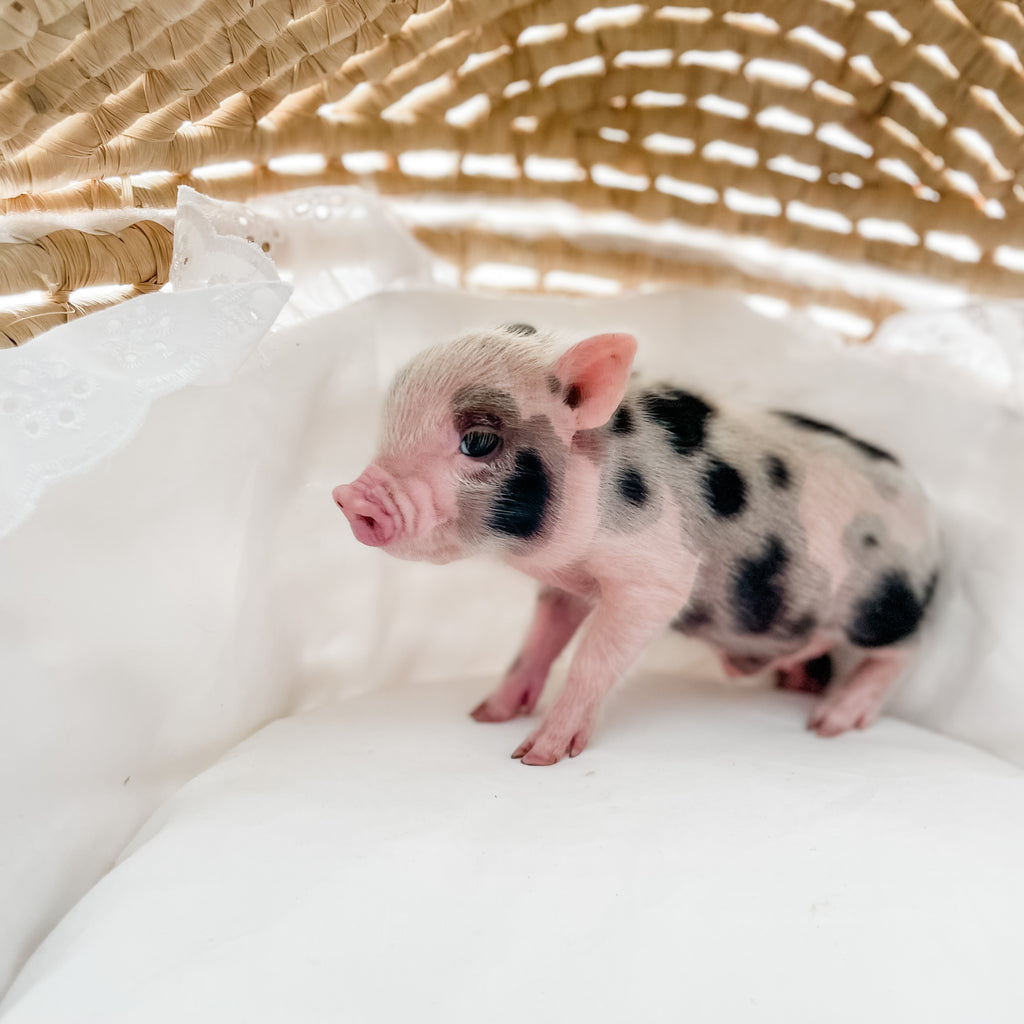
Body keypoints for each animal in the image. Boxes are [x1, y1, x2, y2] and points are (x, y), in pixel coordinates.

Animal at [333, 323, 940, 765]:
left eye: (479, 440)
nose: (349, 497)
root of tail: (936, 533)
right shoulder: (565, 586)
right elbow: (536, 644)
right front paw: (486, 715)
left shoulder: (656, 577)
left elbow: (591, 658)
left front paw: (536, 757)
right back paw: (798, 686)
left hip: (882, 607)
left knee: (902, 652)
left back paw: (830, 724)